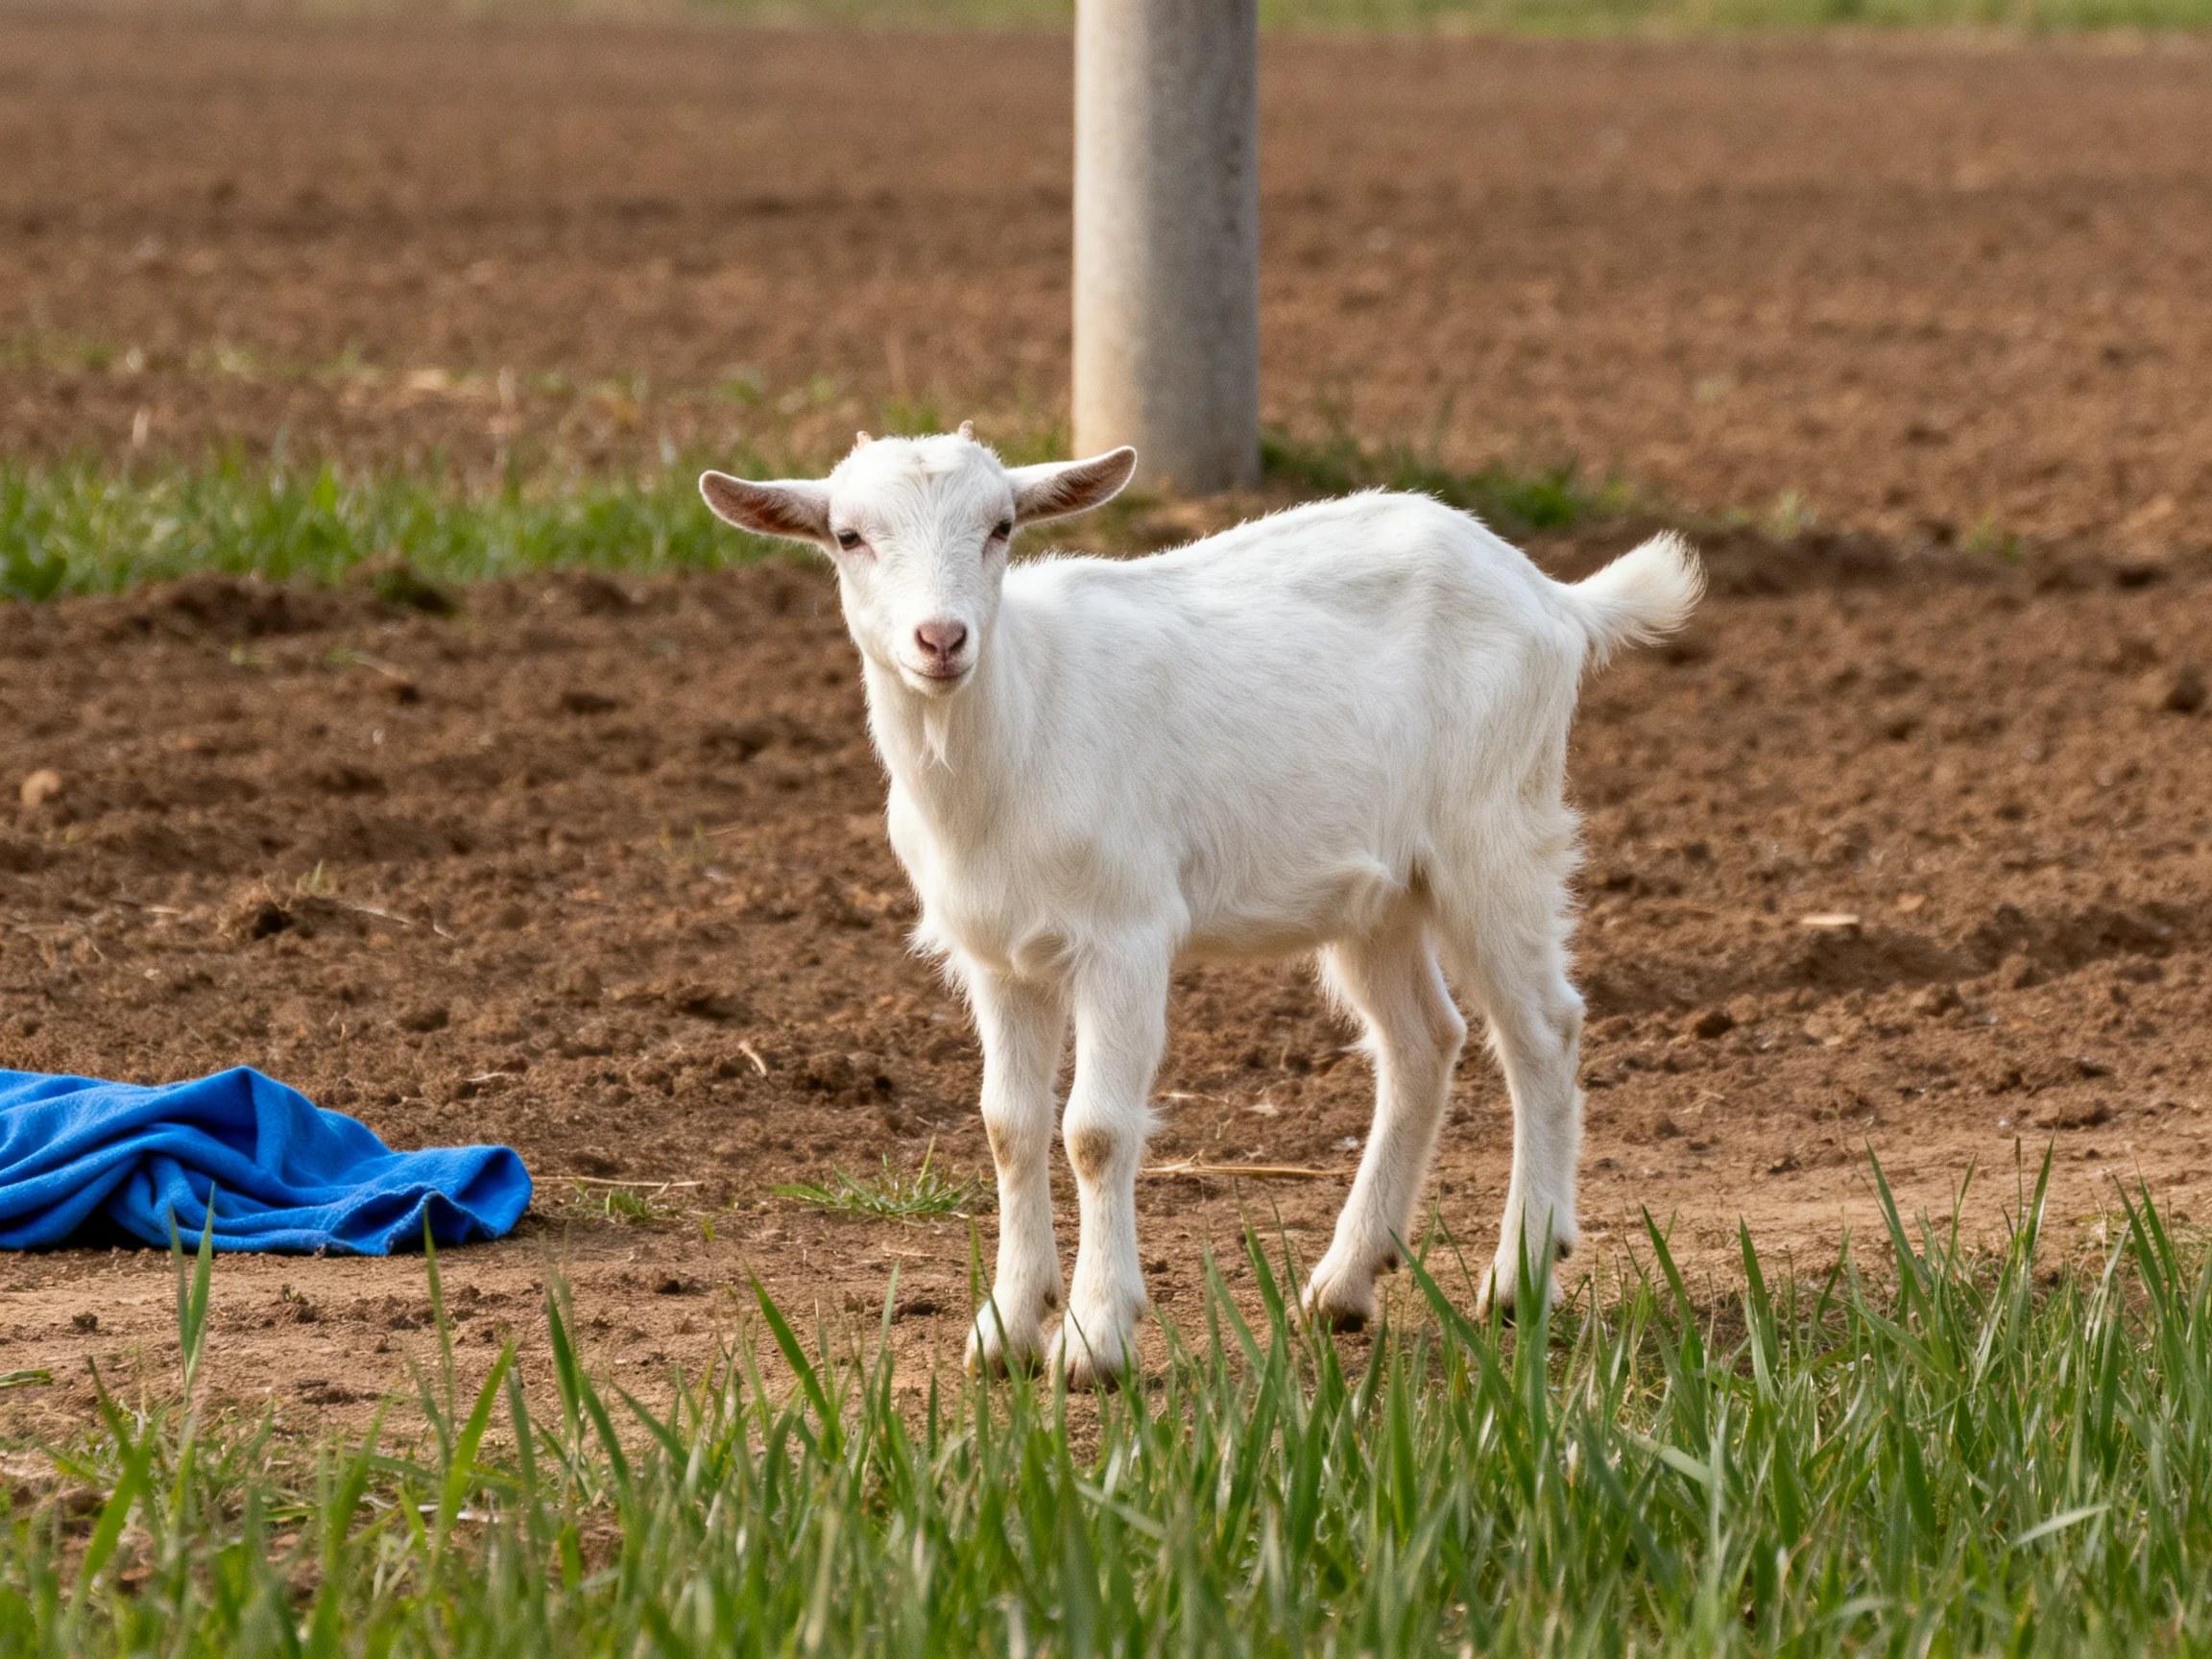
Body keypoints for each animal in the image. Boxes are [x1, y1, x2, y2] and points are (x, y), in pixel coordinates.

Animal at [701, 428, 1701, 1387]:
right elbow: (1008, 1126)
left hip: (1494, 832)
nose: (941, 640)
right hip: (1379, 889)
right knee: (1424, 1040)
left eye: (1001, 527)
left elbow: (1095, 1132)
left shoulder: (1127, 935)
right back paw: (1345, 1284)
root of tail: (1555, 599)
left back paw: (1519, 1277)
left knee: (1543, 1029)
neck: (1016, 726)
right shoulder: (998, 956)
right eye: (848, 537)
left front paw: (1095, 1342)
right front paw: (1005, 1331)